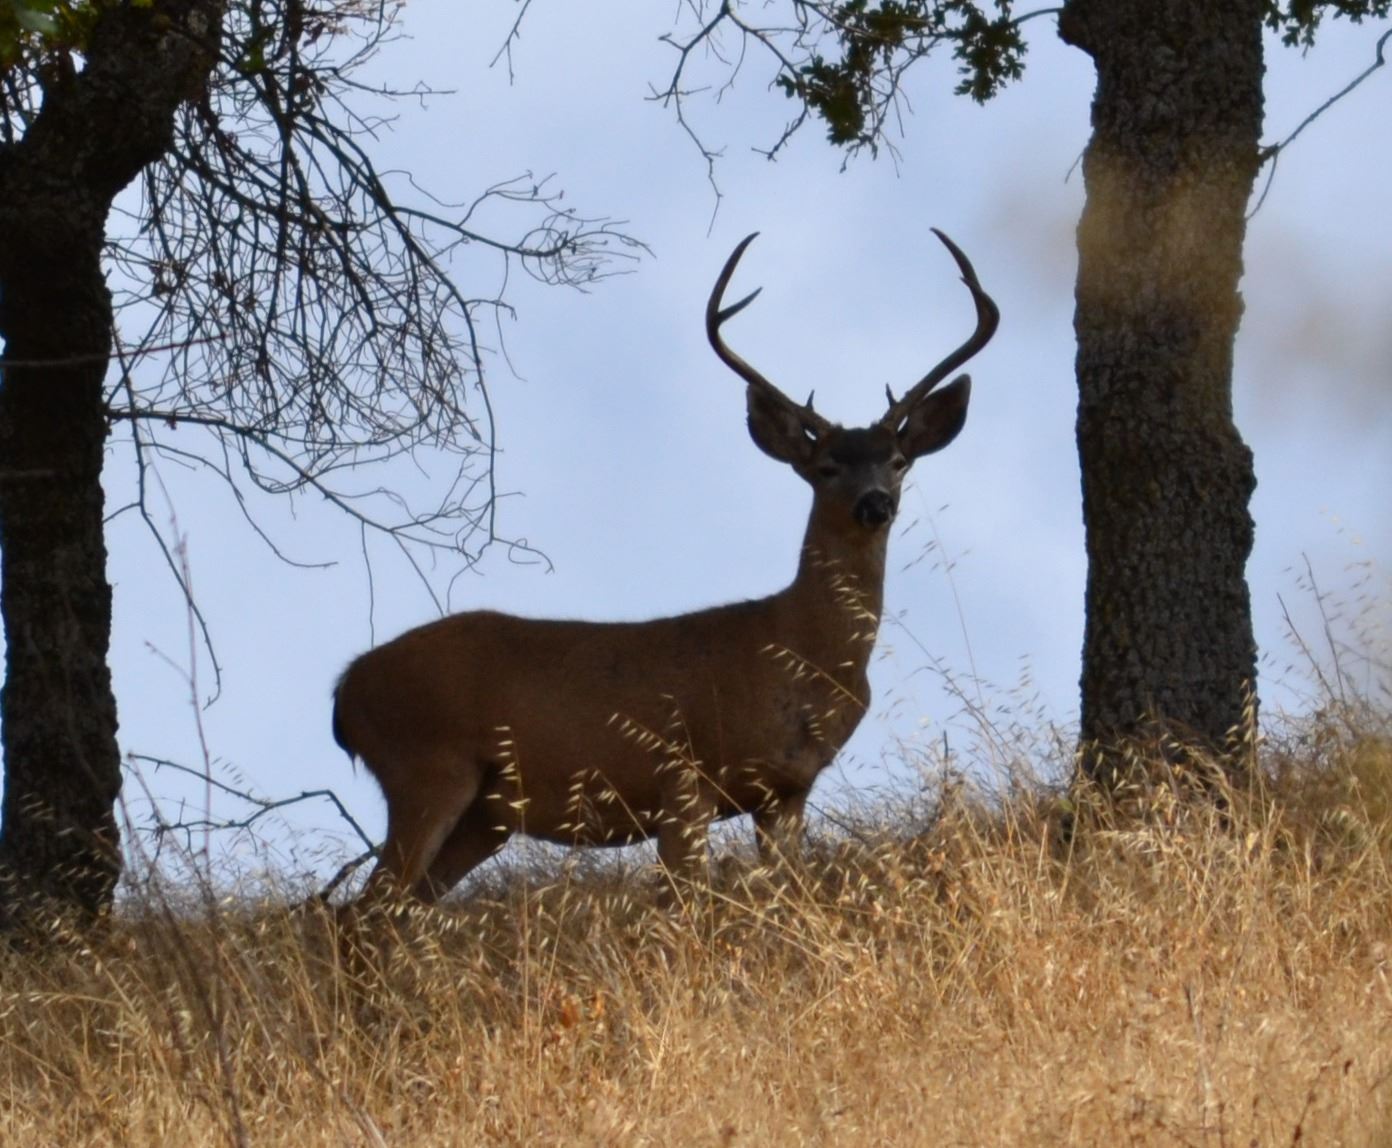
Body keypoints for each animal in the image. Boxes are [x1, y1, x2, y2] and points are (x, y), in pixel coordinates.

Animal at [331, 229, 998, 909]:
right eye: (826, 467)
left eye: (898, 460)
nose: (875, 503)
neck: (799, 652)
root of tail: (344, 691)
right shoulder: (683, 777)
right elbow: (684, 901)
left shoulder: (785, 792)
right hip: (427, 766)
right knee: (362, 909)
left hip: (485, 815)